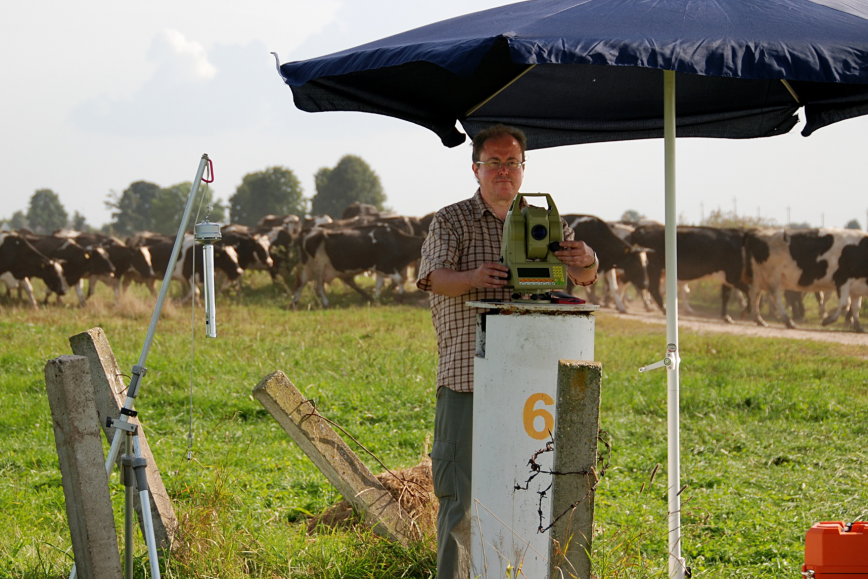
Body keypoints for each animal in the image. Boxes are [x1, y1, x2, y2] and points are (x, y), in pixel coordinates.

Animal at [294, 224, 426, 308]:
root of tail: (308, 230)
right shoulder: (385, 266)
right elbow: (401, 279)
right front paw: (400, 297)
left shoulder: (380, 269)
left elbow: (379, 285)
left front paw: (375, 300)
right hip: (318, 265)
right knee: (318, 287)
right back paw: (326, 303)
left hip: (308, 266)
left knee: (300, 283)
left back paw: (294, 303)